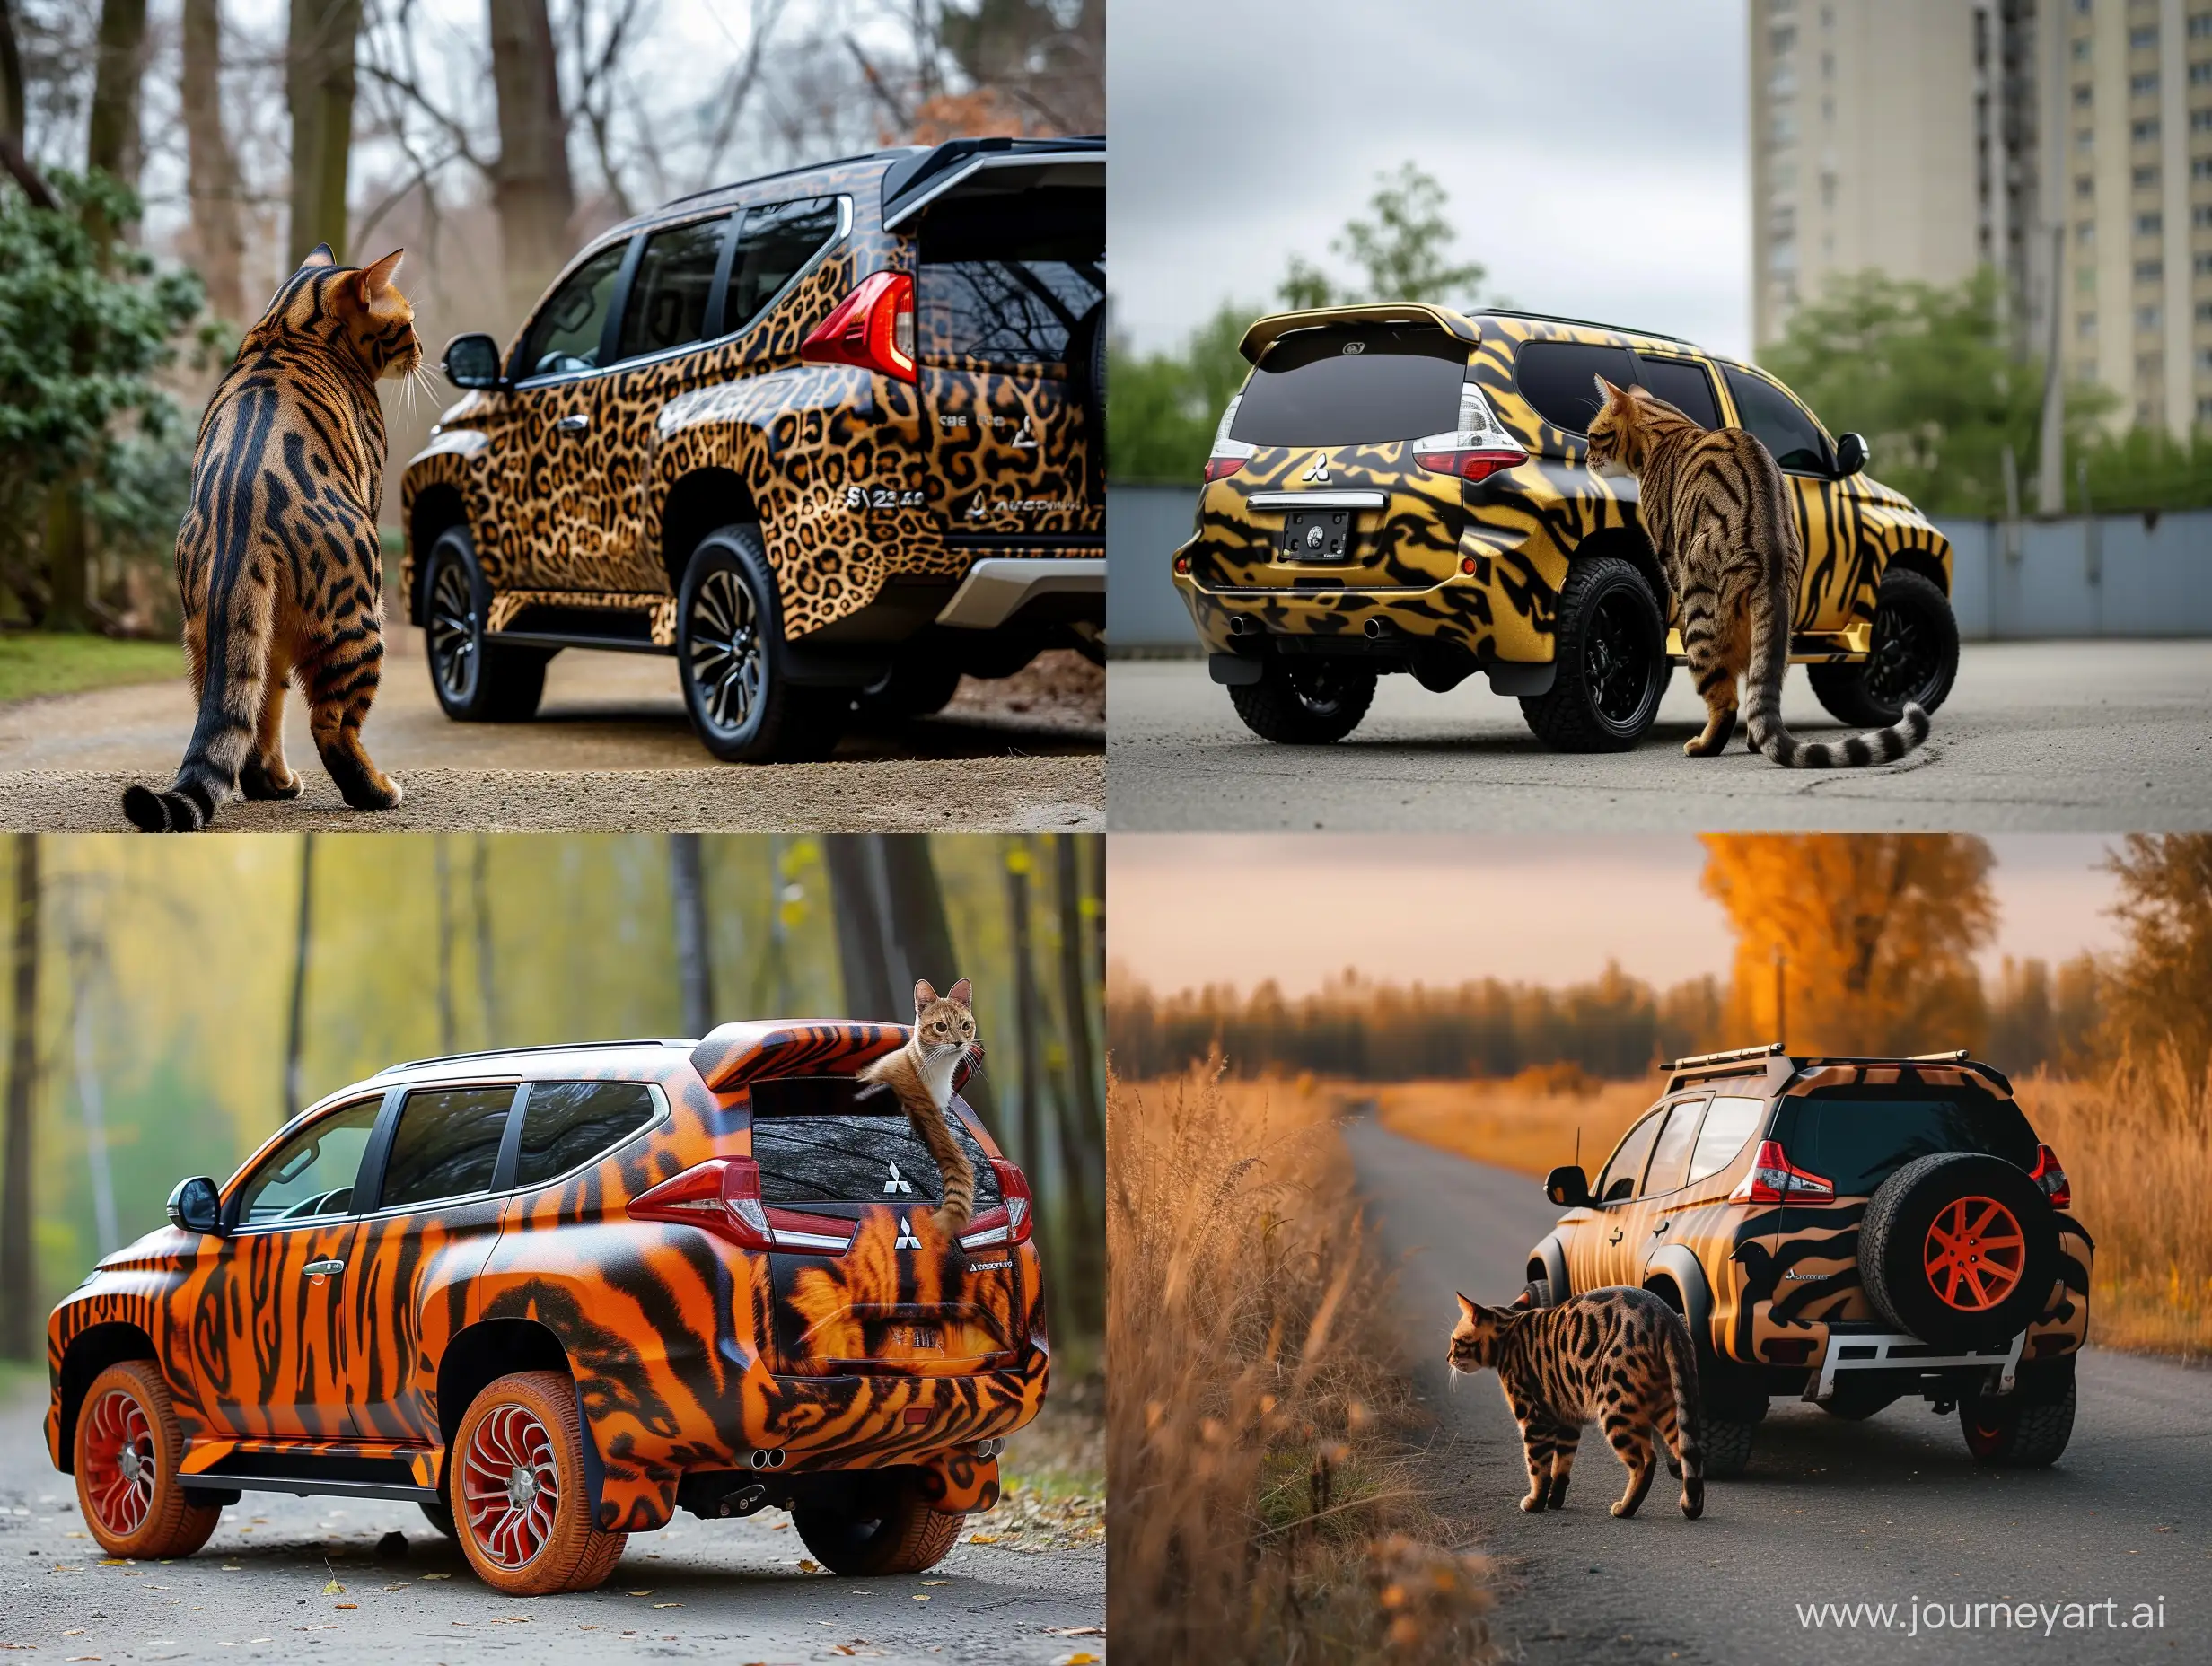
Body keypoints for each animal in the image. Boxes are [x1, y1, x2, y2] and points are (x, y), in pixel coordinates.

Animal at [125, 241, 422, 831]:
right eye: (406, 325)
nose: (423, 350)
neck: (287, 325)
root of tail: (243, 512)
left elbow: (264, 706)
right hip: (359, 619)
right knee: (331, 725)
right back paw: (377, 791)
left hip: (215, 631)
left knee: (246, 707)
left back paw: (271, 784)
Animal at [1451, 1283, 1707, 1521]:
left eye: (1454, 1341)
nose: (1447, 1357)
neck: (1509, 1331)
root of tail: (1666, 1315)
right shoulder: (1568, 1417)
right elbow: (1561, 1466)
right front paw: (1555, 1500)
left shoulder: (1534, 1419)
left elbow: (1537, 1466)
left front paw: (1535, 1502)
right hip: (1670, 1407)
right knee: (1689, 1455)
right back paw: (1691, 1506)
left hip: (1615, 1405)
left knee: (1646, 1461)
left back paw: (1625, 1509)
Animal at [1584, 376, 1928, 765]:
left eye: (1594, 436)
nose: (1586, 458)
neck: (1667, 428)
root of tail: (1767, 557)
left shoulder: (1671, 561)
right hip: (1776, 629)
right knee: (1758, 690)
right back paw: (1753, 739)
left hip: (1698, 612)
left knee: (1727, 701)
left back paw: (1703, 746)